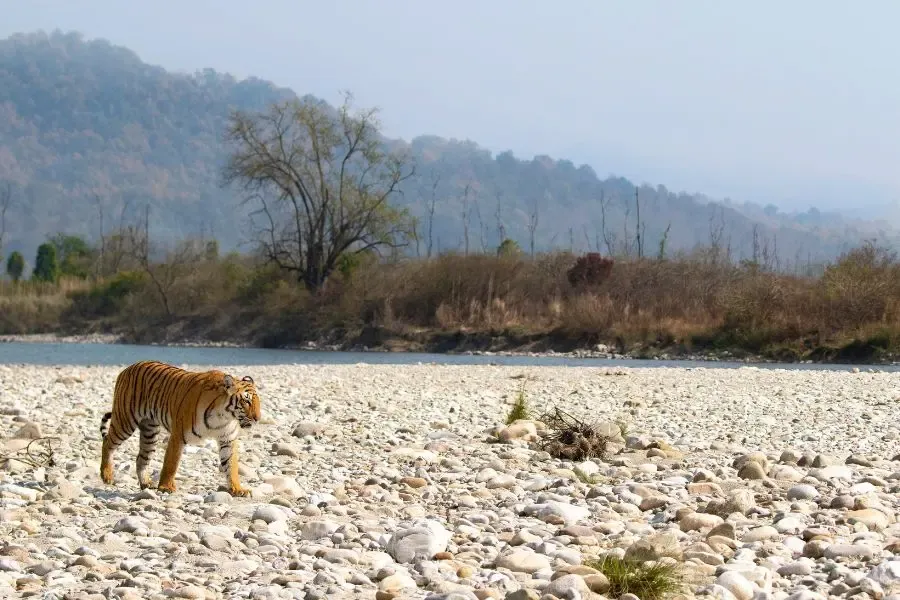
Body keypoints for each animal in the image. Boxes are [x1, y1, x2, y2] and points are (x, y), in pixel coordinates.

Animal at [99, 360, 262, 497]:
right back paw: (107, 476)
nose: (257, 419)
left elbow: (231, 466)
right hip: (124, 421)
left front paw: (238, 489)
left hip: (150, 432)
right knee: (107, 442)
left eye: (258, 401)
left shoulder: (227, 439)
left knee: (141, 458)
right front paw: (166, 487)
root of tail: (127, 368)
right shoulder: (178, 435)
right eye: (246, 401)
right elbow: (171, 463)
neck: (223, 416)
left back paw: (146, 483)